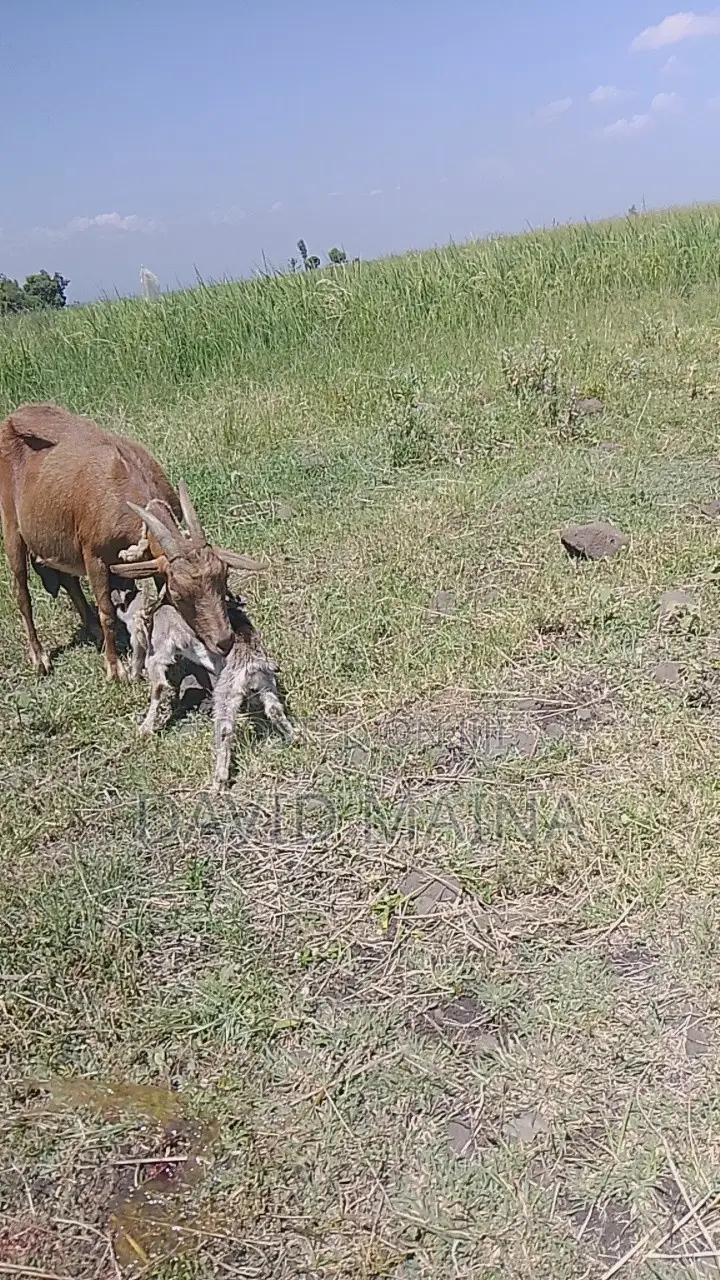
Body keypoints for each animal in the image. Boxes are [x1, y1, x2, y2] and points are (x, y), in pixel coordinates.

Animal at [0, 403, 264, 680]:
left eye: (224, 577)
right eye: (179, 594)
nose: (224, 641)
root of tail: (15, 415)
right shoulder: (93, 554)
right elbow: (107, 612)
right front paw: (114, 668)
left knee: (68, 579)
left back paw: (91, 628)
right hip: (11, 525)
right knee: (21, 591)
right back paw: (39, 657)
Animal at [114, 574, 292, 791]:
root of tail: (254, 662)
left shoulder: (159, 650)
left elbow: (158, 687)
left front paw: (144, 728)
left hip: (226, 693)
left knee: (225, 729)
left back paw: (219, 780)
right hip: (267, 684)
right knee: (275, 709)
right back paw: (295, 738)